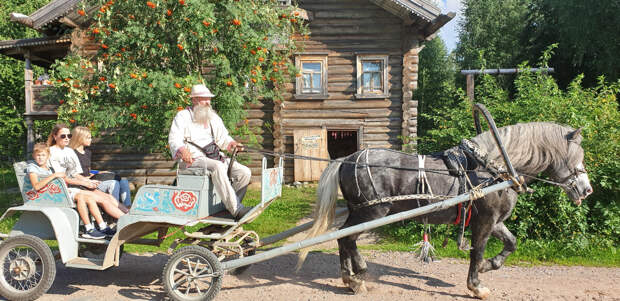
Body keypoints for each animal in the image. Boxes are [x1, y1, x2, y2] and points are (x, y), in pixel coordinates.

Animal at [298, 121, 592, 298]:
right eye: (577, 157)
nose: (587, 189)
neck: (494, 171)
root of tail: (346, 159)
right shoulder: (485, 222)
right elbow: (477, 251)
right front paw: (476, 285)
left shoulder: (496, 221)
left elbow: (511, 243)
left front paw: (489, 266)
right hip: (371, 212)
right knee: (346, 238)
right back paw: (353, 279)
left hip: (361, 212)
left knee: (345, 240)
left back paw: (355, 274)